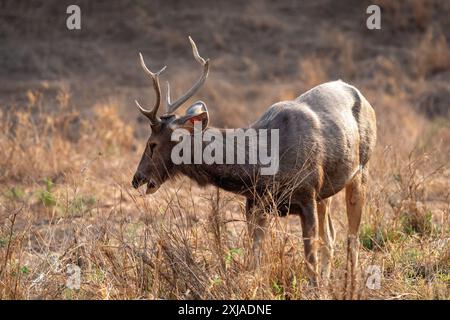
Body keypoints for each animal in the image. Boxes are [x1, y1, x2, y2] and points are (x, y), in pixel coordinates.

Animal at [131, 37, 376, 296]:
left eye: (152, 144)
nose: (136, 178)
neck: (264, 165)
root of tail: (362, 96)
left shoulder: (306, 193)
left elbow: (310, 259)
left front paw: (315, 290)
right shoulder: (256, 203)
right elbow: (254, 259)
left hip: (362, 170)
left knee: (352, 237)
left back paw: (352, 286)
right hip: (326, 191)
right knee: (331, 235)